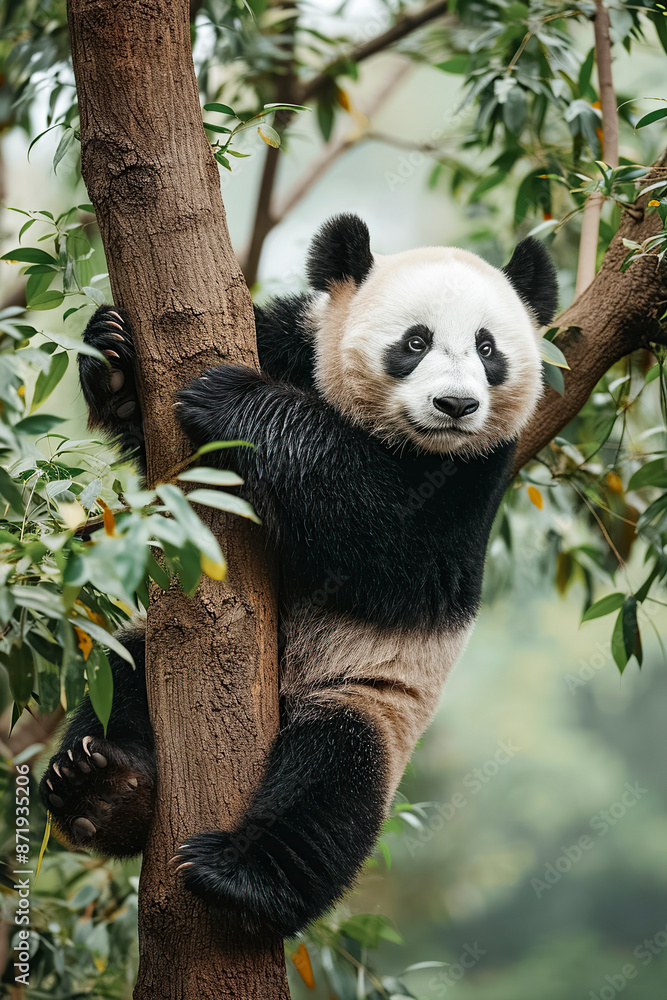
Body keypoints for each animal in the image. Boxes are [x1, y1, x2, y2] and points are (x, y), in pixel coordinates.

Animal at [39, 214, 557, 940]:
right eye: (415, 341)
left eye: (488, 349)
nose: (455, 405)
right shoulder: (294, 341)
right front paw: (113, 355)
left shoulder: (474, 476)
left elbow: (391, 545)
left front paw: (232, 400)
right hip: (144, 657)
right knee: (122, 675)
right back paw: (103, 791)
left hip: (365, 697)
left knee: (333, 780)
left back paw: (241, 878)